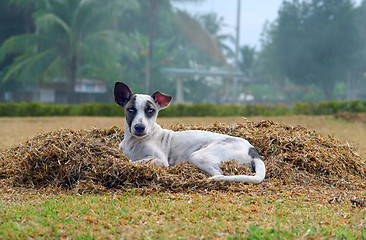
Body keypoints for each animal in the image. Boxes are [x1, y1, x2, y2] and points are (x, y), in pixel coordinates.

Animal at [114, 82, 266, 184]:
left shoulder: (160, 160)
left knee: (220, 174)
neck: (135, 141)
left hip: (198, 156)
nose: (139, 127)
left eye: (150, 110)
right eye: (131, 110)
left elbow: (136, 162)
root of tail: (251, 149)